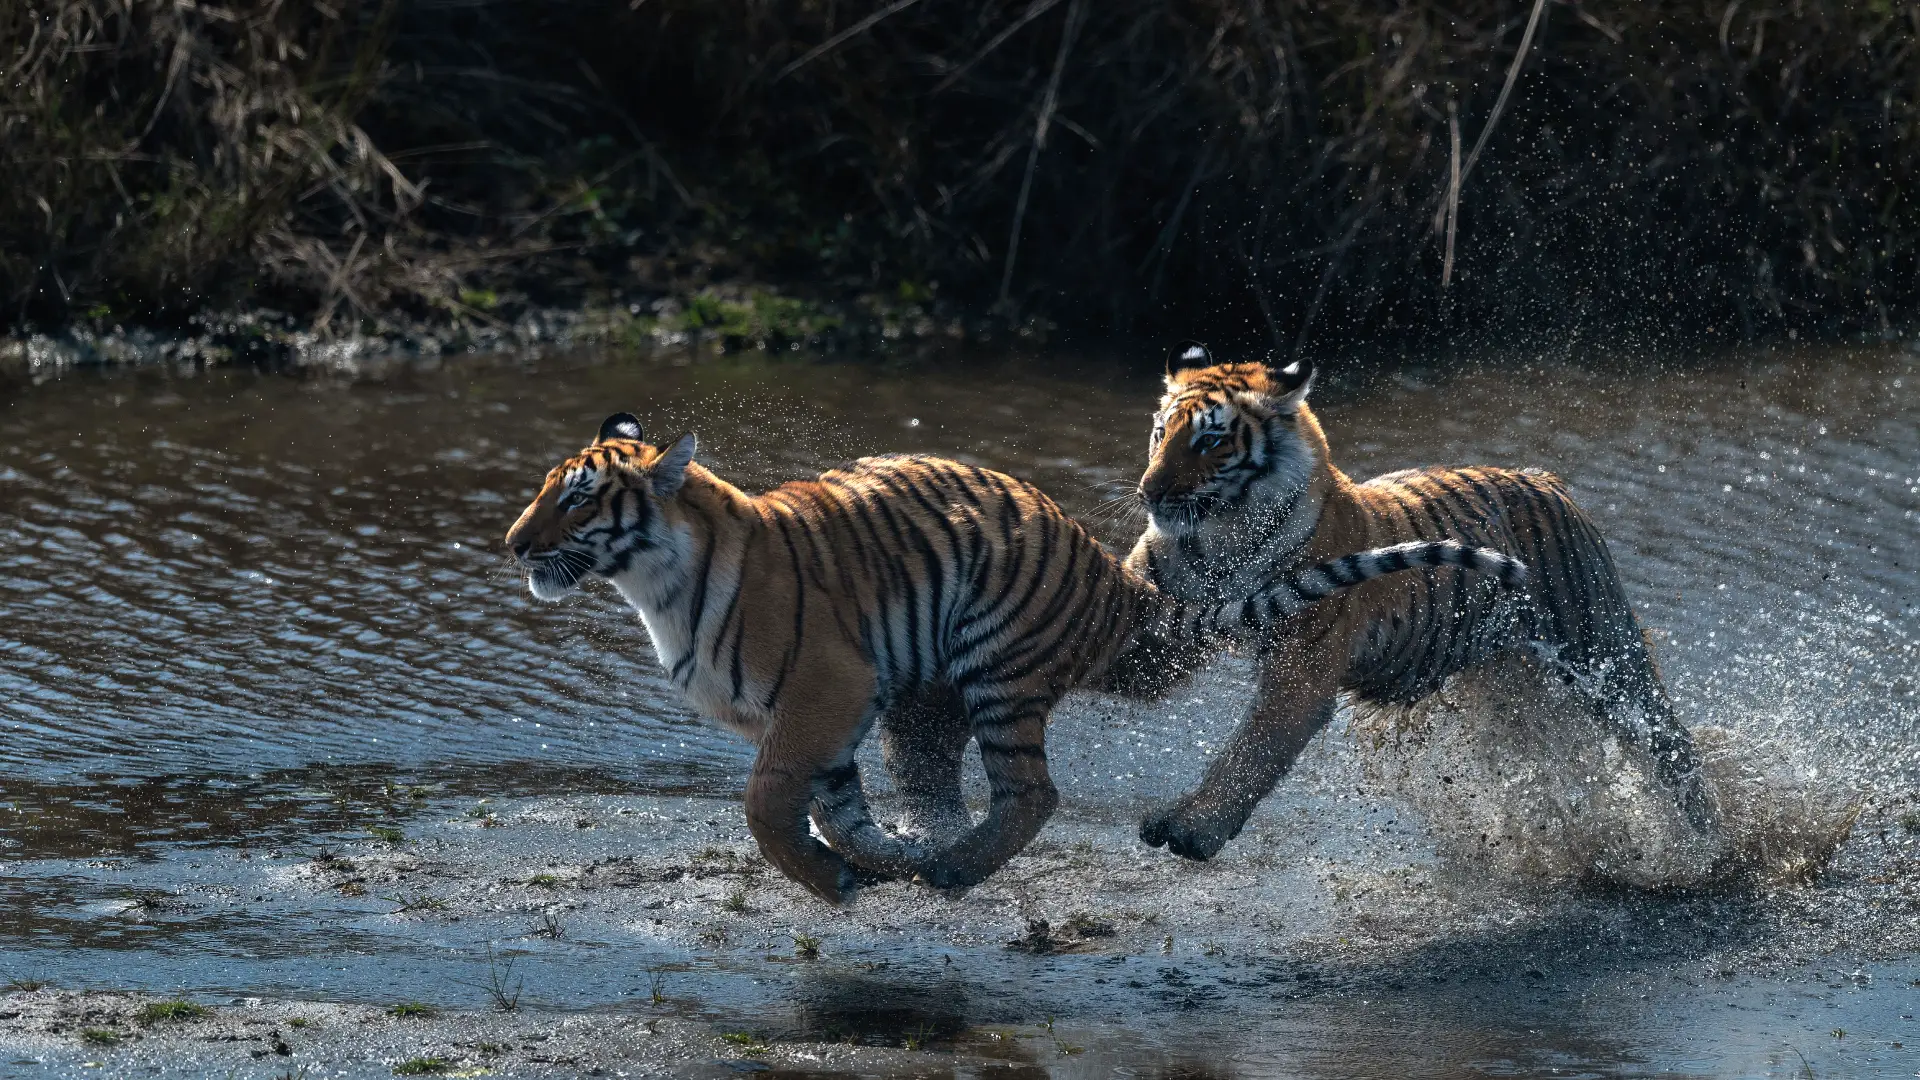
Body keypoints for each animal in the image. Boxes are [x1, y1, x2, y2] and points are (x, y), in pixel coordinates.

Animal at [505, 412, 1530, 904]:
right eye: (546, 491)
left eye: (578, 498)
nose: (514, 544)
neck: (657, 586)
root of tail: (1109, 578)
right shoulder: (829, 716)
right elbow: (839, 809)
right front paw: (870, 863)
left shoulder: (825, 688)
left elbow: (766, 804)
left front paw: (836, 880)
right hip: (934, 691)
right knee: (964, 784)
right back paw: (936, 856)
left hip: (995, 662)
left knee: (1034, 793)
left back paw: (957, 870)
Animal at [1125, 343, 1721, 864]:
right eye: (1159, 433)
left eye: (1210, 442)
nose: (1149, 493)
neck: (1218, 541)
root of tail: (1547, 479)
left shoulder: (1302, 666)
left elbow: (1250, 751)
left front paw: (1194, 830)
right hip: (1508, 687)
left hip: (1604, 654)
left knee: (1673, 749)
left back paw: (1713, 847)